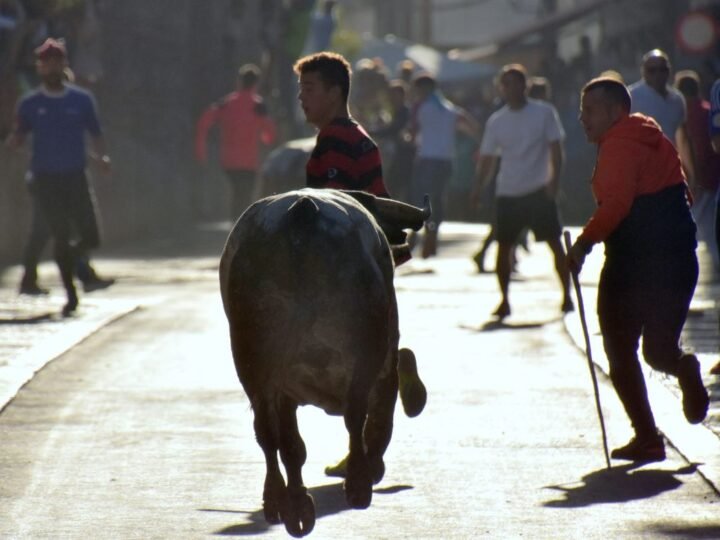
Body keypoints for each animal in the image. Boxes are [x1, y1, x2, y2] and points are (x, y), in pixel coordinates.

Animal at [219, 187, 430, 536]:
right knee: (356, 415)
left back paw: (285, 503)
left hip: (252, 360)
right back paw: (357, 484)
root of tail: (303, 211)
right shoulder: (385, 358)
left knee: (270, 434)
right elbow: (379, 417)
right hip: (366, 345)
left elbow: (289, 443)